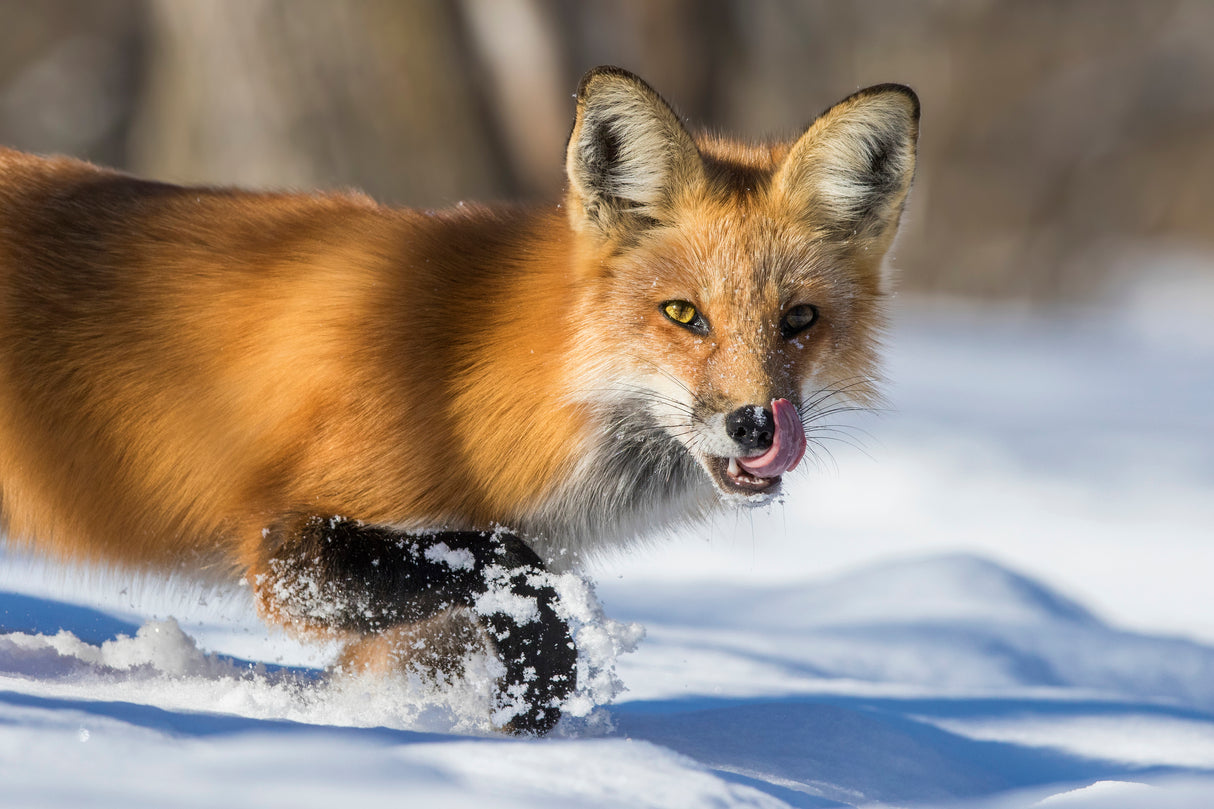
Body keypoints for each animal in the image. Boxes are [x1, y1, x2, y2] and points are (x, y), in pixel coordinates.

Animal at [0, 67, 917, 734]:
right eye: (683, 314)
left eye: (799, 320)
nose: (756, 425)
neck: (469, 372)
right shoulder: (284, 548)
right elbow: (517, 570)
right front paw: (532, 700)